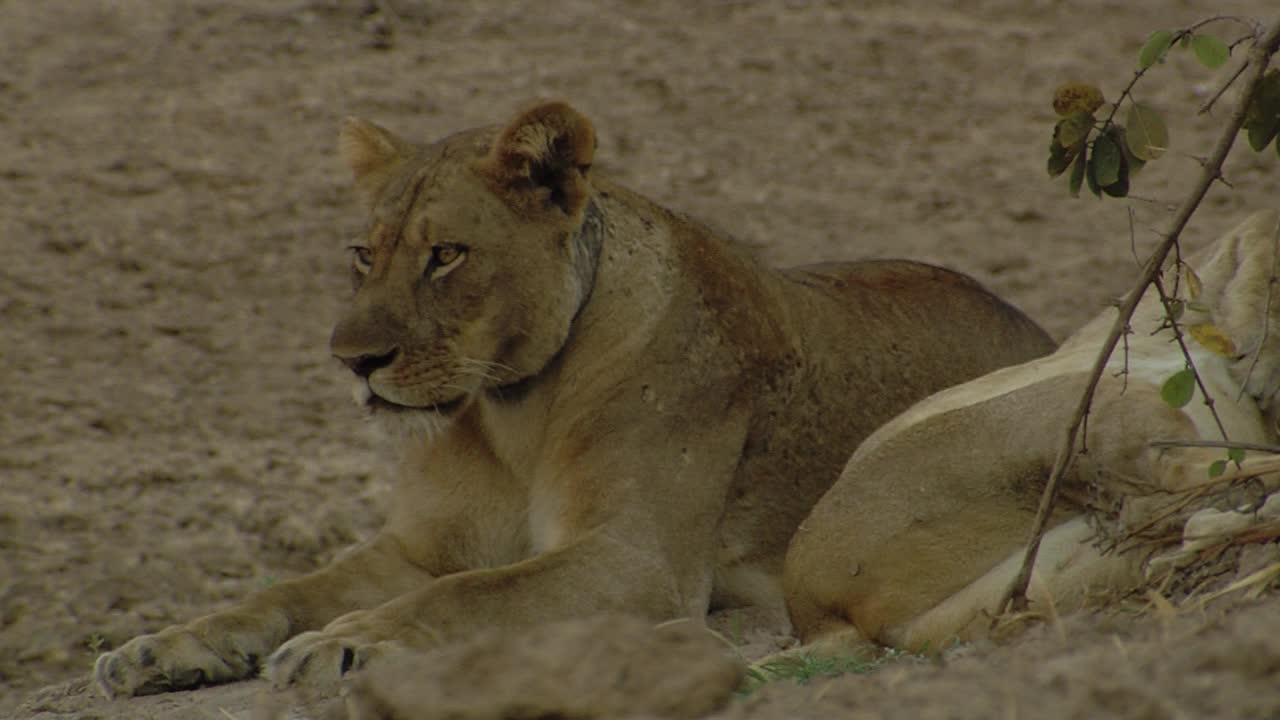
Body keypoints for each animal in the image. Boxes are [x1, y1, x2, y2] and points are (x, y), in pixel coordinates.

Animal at [87, 101, 1049, 696]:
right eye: (364, 255)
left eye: (446, 255)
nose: (353, 361)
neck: (509, 409)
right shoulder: (423, 547)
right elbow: (292, 585)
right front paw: (163, 645)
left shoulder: (638, 561)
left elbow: (472, 597)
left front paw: (346, 642)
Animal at [778, 207, 1280, 655]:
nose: (1259, 380)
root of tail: (811, 613)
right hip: (1083, 406)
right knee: (1175, 486)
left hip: (1050, 577)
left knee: (1168, 522)